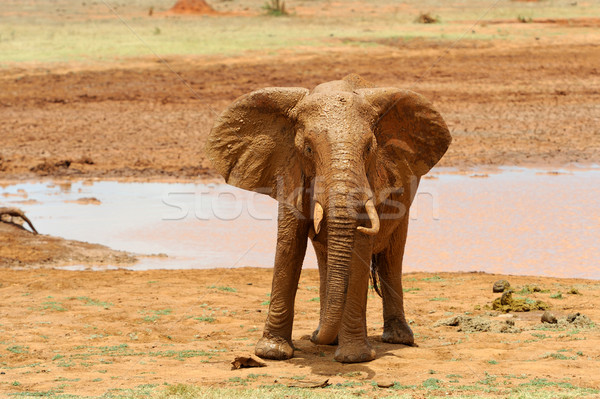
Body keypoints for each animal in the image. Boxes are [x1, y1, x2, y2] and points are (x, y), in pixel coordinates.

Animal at [206, 73, 450, 364]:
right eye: (308, 149)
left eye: (369, 148)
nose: (313, 340)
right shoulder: (289, 170)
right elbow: (290, 243)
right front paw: (272, 353)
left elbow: (359, 247)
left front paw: (354, 357)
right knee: (325, 257)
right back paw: (326, 336)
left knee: (392, 256)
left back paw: (397, 339)